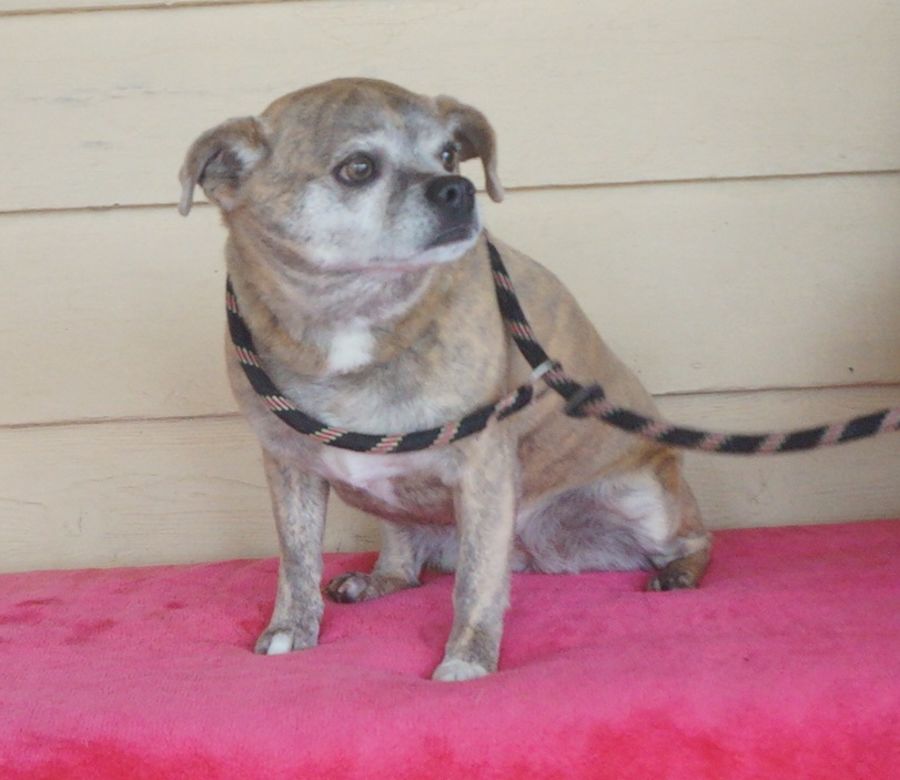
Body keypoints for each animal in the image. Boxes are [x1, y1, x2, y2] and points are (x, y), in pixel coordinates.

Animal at [178, 78, 711, 681]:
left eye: (451, 154)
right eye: (358, 168)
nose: (458, 188)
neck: (354, 317)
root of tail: (533, 552)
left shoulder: (483, 468)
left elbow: (476, 582)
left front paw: (467, 658)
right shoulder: (289, 466)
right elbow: (296, 558)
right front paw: (292, 627)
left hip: (647, 501)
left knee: (694, 539)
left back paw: (678, 572)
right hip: (394, 506)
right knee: (405, 557)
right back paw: (377, 579)